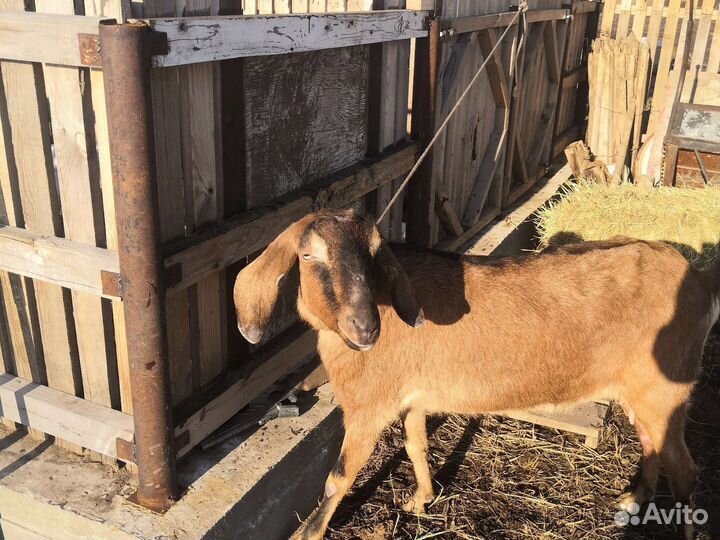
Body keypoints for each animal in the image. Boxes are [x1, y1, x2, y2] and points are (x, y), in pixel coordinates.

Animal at [233, 209, 720, 540]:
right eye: (307, 254)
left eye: (372, 254)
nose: (365, 328)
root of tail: (699, 282)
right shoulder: (413, 398)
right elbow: (415, 445)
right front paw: (420, 499)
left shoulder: (370, 408)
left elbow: (339, 476)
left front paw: (308, 532)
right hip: (642, 390)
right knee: (653, 444)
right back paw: (633, 500)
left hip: (665, 389)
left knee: (686, 469)